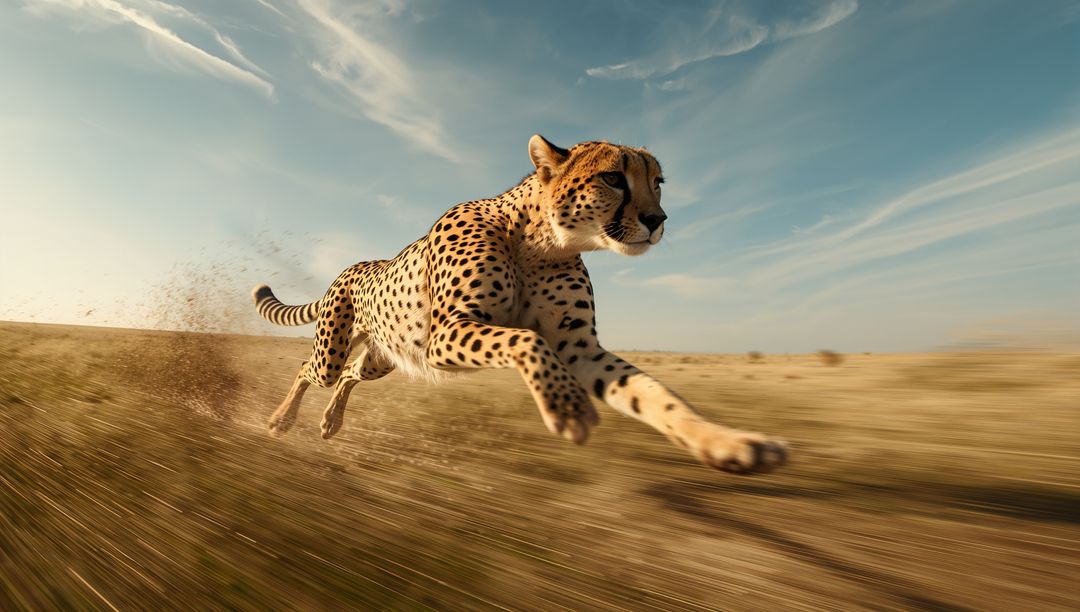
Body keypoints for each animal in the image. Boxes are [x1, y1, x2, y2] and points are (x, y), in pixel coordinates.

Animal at [252, 135, 788, 474]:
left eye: (658, 181)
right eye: (615, 178)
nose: (658, 220)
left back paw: (330, 421)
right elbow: (526, 337)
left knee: (348, 375)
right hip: (341, 348)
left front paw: (730, 443)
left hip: (386, 357)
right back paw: (282, 419)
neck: (543, 241)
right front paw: (568, 406)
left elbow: (655, 393)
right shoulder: (448, 332)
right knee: (310, 368)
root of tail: (356, 264)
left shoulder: (579, 346)